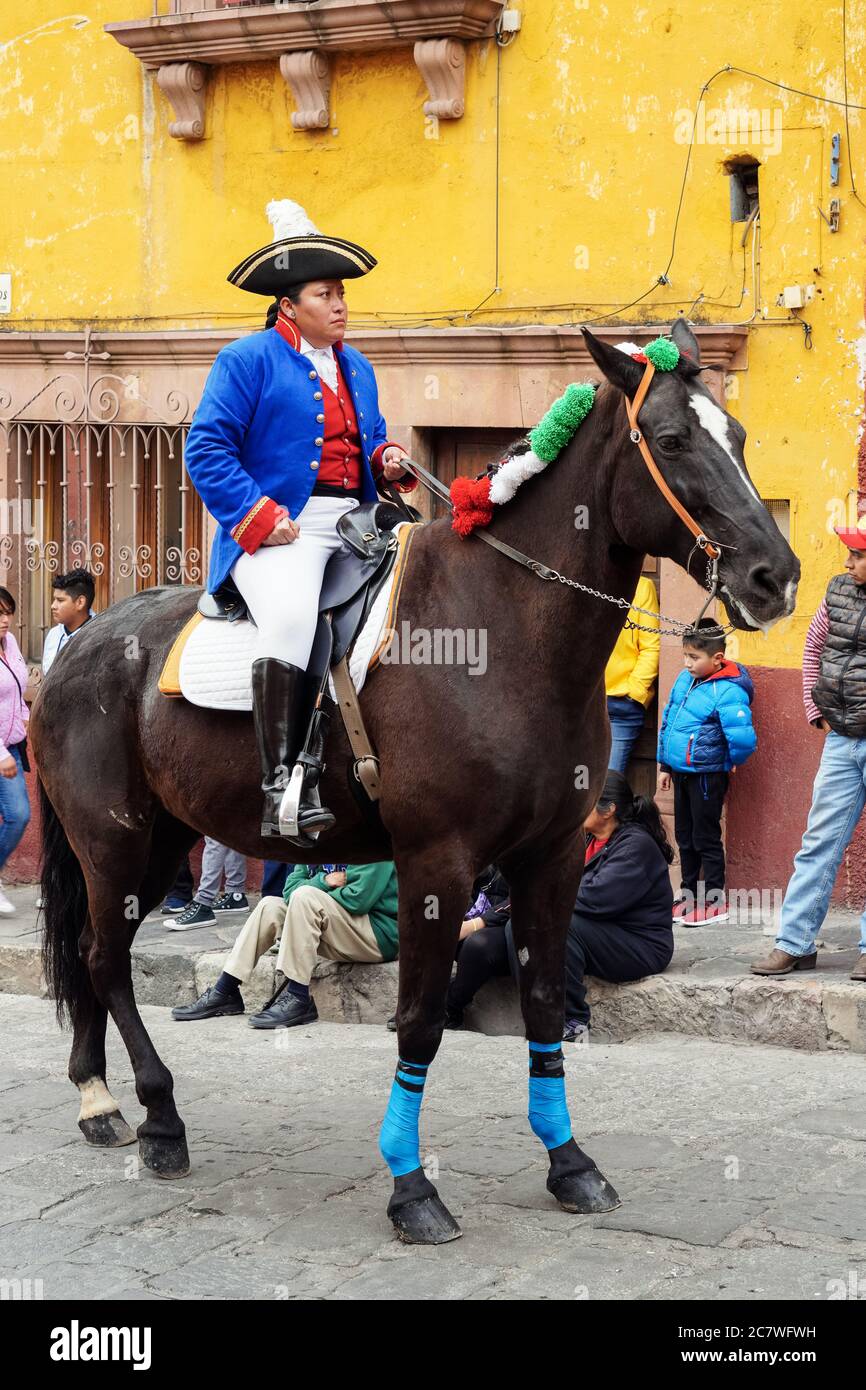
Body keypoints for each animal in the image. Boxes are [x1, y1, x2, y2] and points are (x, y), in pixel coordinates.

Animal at [32, 322, 800, 1239]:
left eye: (742, 437)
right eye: (675, 439)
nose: (775, 577)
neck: (504, 625)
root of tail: (77, 645)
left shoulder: (552, 858)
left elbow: (545, 1000)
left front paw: (569, 1162)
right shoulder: (438, 862)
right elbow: (420, 1022)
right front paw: (410, 1186)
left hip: (160, 841)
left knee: (92, 953)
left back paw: (97, 1098)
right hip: (112, 842)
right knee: (104, 958)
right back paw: (157, 1115)